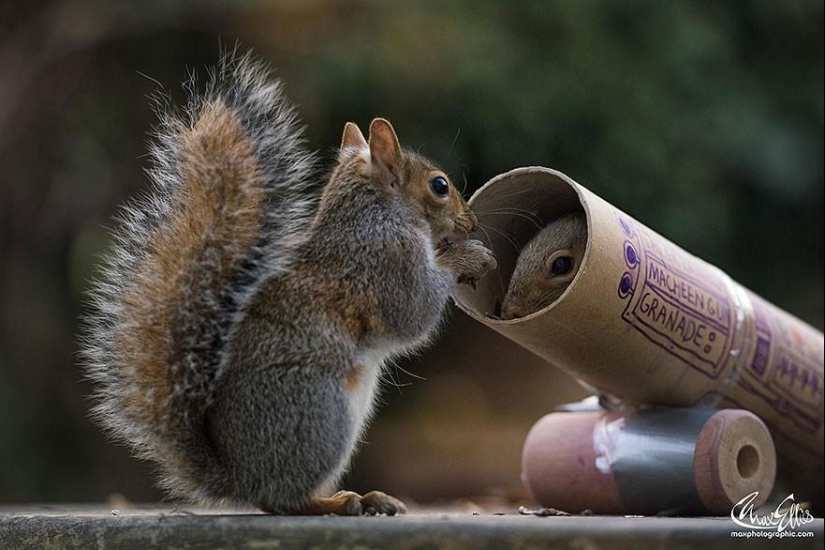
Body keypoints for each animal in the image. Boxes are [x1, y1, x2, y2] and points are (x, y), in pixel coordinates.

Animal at [81, 52, 496, 515]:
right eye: (439, 186)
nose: (471, 222)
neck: (375, 214)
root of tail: (242, 478)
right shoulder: (386, 262)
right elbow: (414, 313)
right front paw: (468, 256)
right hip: (320, 418)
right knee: (284, 501)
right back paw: (337, 503)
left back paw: (365, 497)